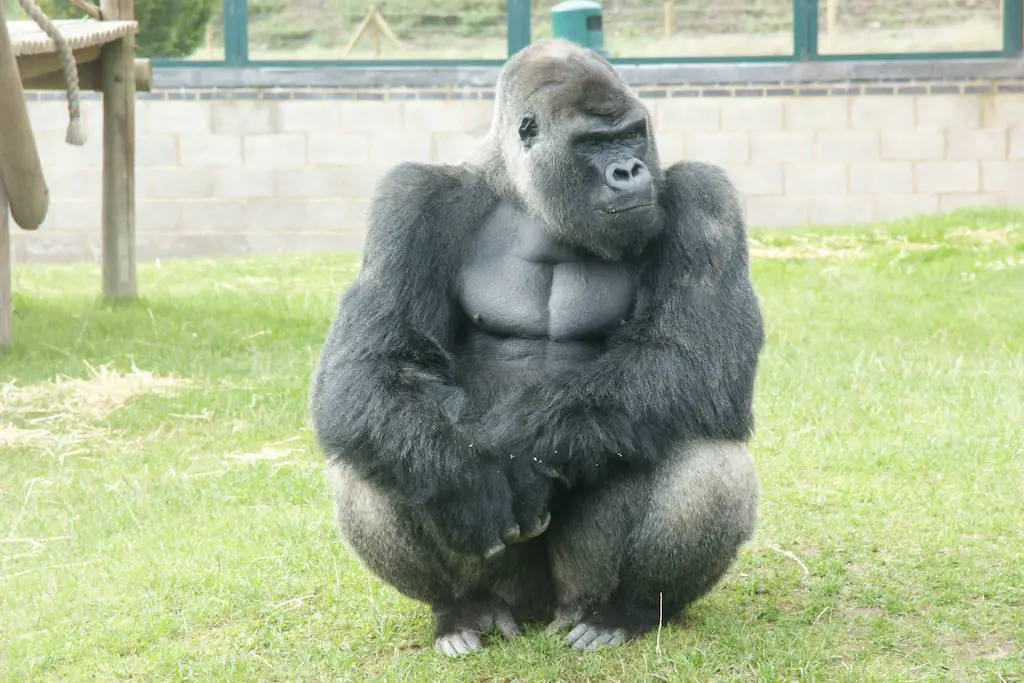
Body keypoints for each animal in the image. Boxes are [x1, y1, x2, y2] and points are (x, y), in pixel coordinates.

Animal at [307, 38, 765, 655]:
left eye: (631, 134)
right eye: (593, 142)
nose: (629, 170)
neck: (527, 195)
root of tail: (542, 611)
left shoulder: (705, 197)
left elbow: (691, 354)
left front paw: (520, 458)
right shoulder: (409, 201)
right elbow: (373, 367)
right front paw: (465, 477)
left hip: (578, 587)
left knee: (706, 451)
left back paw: (625, 611)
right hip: (508, 589)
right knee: (379, 452)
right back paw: (461, 610)